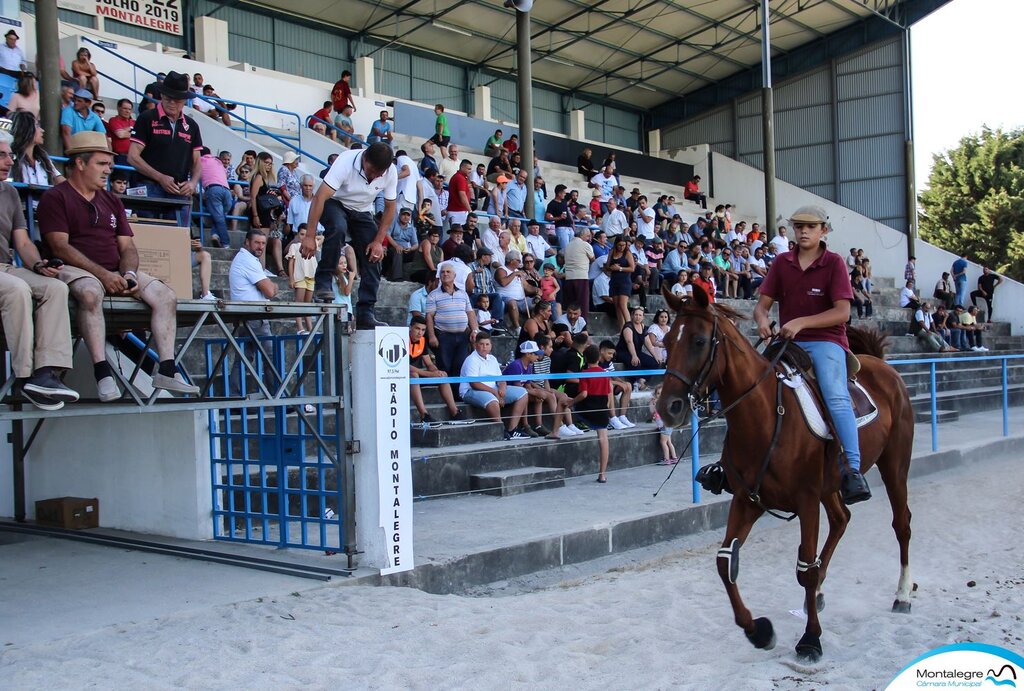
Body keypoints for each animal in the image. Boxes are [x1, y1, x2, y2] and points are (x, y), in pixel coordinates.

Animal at [655, 284, 913, 663]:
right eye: (667, 340)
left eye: (699, 341)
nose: (668, 407)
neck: (763, 417)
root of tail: (882, 366)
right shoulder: (748, 499)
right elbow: (724, 562)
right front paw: (758, 630)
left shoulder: (806, 501)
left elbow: (805, 569)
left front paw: (811, 639)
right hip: (830, 487)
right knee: (841, 519)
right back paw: (818, 597)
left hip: (895, 465)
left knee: (901, 525)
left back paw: (903, 595)